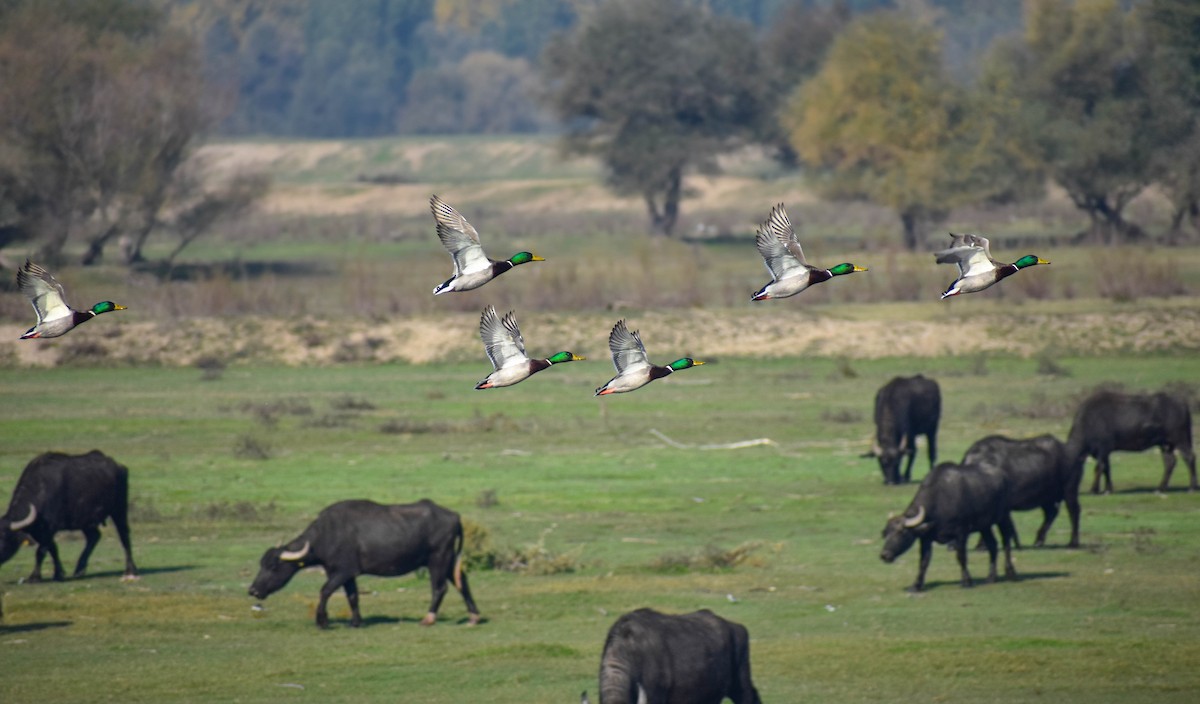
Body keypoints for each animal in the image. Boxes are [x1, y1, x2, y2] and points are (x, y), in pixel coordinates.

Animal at [0, 450, 138, 582]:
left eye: (4, 538)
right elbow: (53, 549)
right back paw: (79, 570)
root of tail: (119, 466)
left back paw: (130, 570)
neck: (40, 489)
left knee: (124, 536)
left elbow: (41, 551)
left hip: (119, 510)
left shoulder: (50, 528)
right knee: (94, 537)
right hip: (86, 521)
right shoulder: (40, 531)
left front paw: (35, 576)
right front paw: (59, 573)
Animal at [247, 498, 477, 628]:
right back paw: (474, 616)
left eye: (273, 566)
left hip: (438, 559)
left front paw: (322, 620)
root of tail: (454, 516)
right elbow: (352, 596)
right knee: (463, 583)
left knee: (440, 588)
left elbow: (325, 591)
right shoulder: (348, 575)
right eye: (261, 564)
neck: (327, 535)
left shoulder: (341, 572)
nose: (253, 590)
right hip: (449, 560)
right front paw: (356, 621)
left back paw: (429, 618)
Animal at [878, 460, 1017, 592]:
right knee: (993, 545)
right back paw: (991, 577)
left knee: (1006, 541)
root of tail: (1003, 475)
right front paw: (916, 585)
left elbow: (961, 556)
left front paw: (966, 581)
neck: (939, 500)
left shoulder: (961, 533)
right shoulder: (926, 538)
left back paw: (1010, 572)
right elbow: (924, 561)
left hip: (1004, 517)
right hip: (985, 526)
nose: (884, 555)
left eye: (902, 532)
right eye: (886, 533)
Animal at [1065, 390, 1195, 496]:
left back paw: (1192, 488)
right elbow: (1107, 468)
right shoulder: (1105, 453)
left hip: (1181, 440)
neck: (1089, 421)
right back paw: (1160, 489)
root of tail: (1182, 404)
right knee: (1170, 462)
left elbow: (1099, 467)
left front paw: (1094, 489)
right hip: (1165, 445)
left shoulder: (1103, 449)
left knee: (1189, 457)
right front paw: (1108, 489)